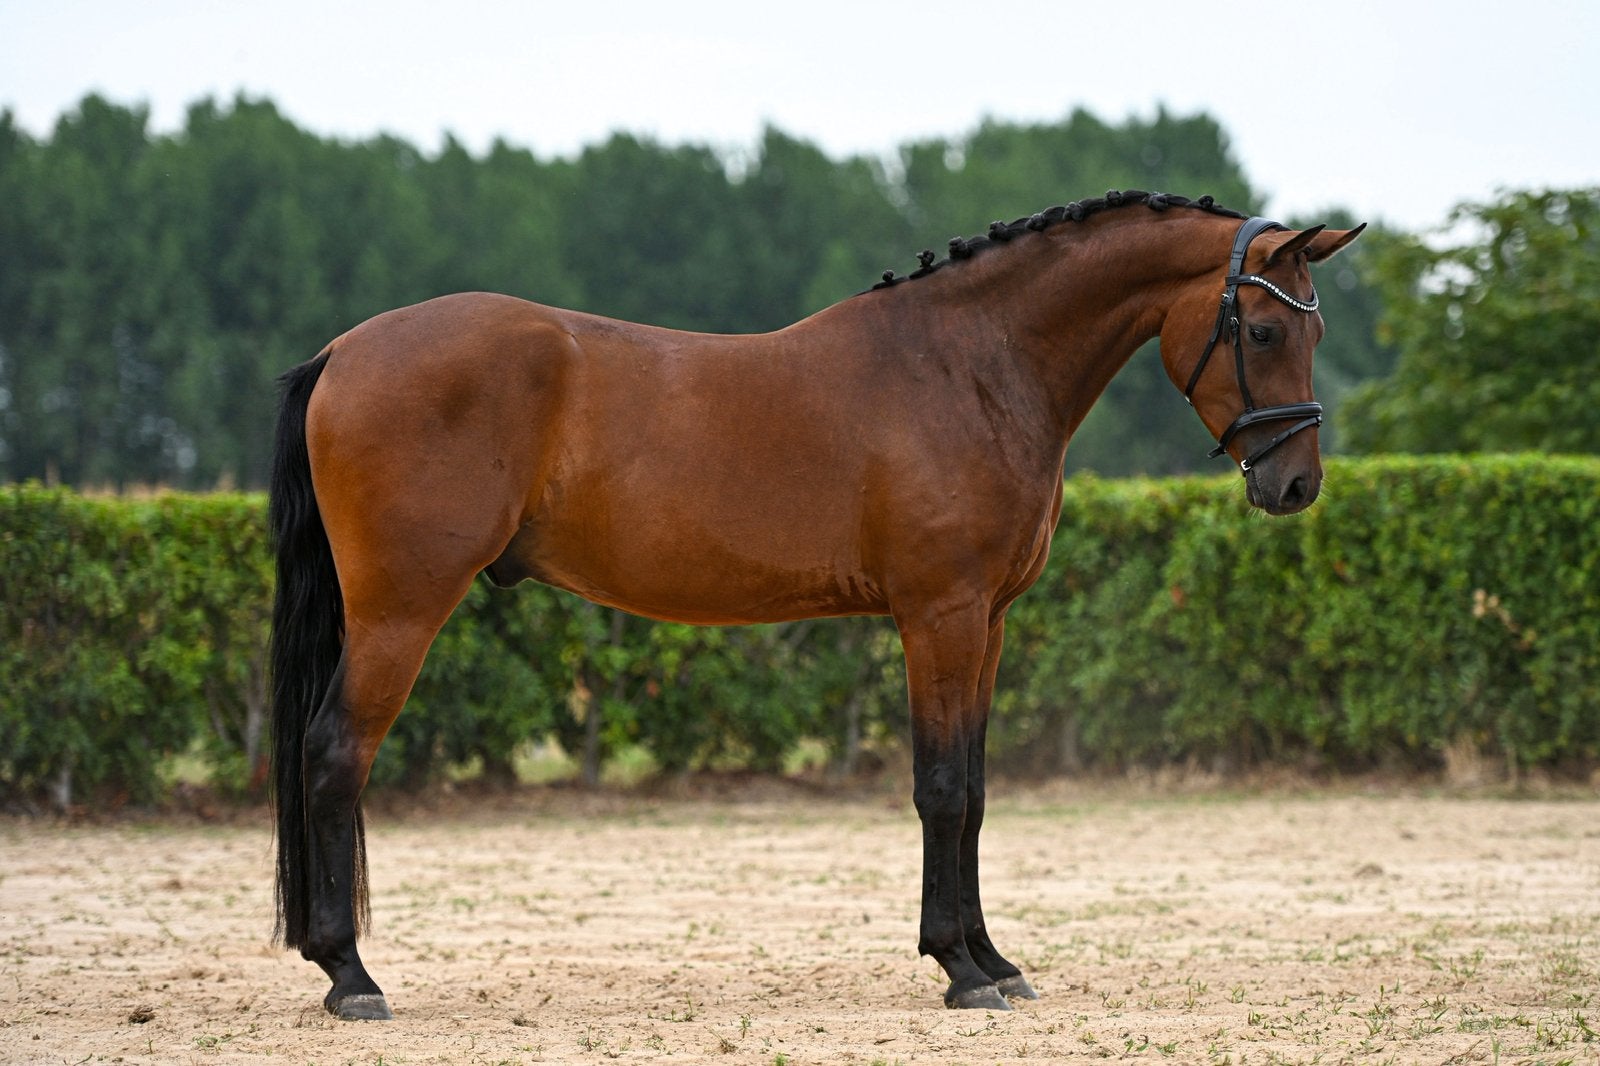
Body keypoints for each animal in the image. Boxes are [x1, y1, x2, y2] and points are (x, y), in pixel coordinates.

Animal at [268, 190, 1364, 1020]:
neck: (970, 364)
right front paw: (958, 970)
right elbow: (940, 788)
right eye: (1265, 327)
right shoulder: (938, 616)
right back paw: (351, 976)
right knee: (333, 756)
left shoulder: (990, 623)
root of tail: (343, 351)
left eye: (1315, 328)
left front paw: (993, 959)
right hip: (400, 612)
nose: (1296, 486)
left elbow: (975, 789)